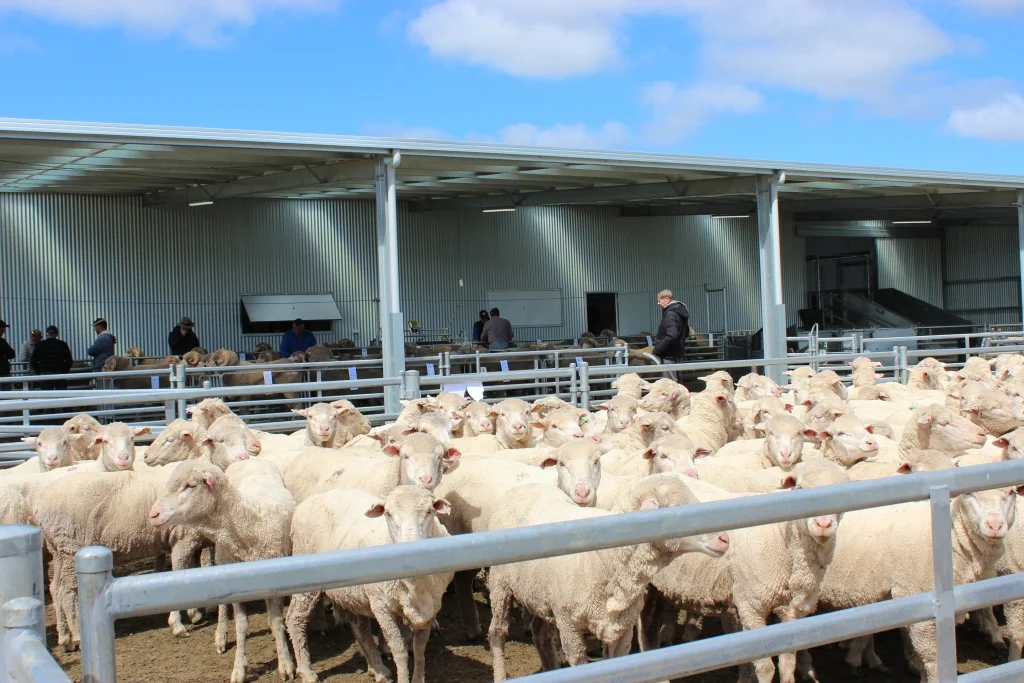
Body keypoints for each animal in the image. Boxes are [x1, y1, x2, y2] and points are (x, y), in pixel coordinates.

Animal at [149, 458, 297, 683]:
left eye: (190, 485)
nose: (153, 515)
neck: (246, 522)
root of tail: (250, 459)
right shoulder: (237, 585)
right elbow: (241, 625)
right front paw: (239, 668)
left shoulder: (275, 582)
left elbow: (277, 620)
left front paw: (286, 664)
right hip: (222, 562)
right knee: (223, 606)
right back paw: (221, 634)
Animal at [286, 486, 454, 683]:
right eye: (388, 514)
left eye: (429, 511)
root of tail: (314, 496)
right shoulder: (382, 607)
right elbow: (400, 652)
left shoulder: (428, 609)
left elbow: (419, 650)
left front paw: (418, 678)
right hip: (306, 579)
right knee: (295, 618)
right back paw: (306, 671)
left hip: (354, 594)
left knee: (360, 628)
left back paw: (377, 669)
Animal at [486, 474, 730, 680]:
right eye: (677, 509)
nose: (724, 539)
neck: (607, 557)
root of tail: (521, 488)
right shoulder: (569, 626)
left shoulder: (622, 629)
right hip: (500, 584)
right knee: (497, 633)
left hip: (540, 594)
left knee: (539, 631)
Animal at [649, 461, 849, 683]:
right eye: (800, 488)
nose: (823, 524)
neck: (781, 538)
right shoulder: (751, 606)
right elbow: (765, 667)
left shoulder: (791, 612)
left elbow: (788, 664)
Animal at [818, 486, 1020, 680]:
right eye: (969, 493)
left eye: (1011, 492)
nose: (995, 525)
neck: (954, 539)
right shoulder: (922, 609)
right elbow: (932, 662)